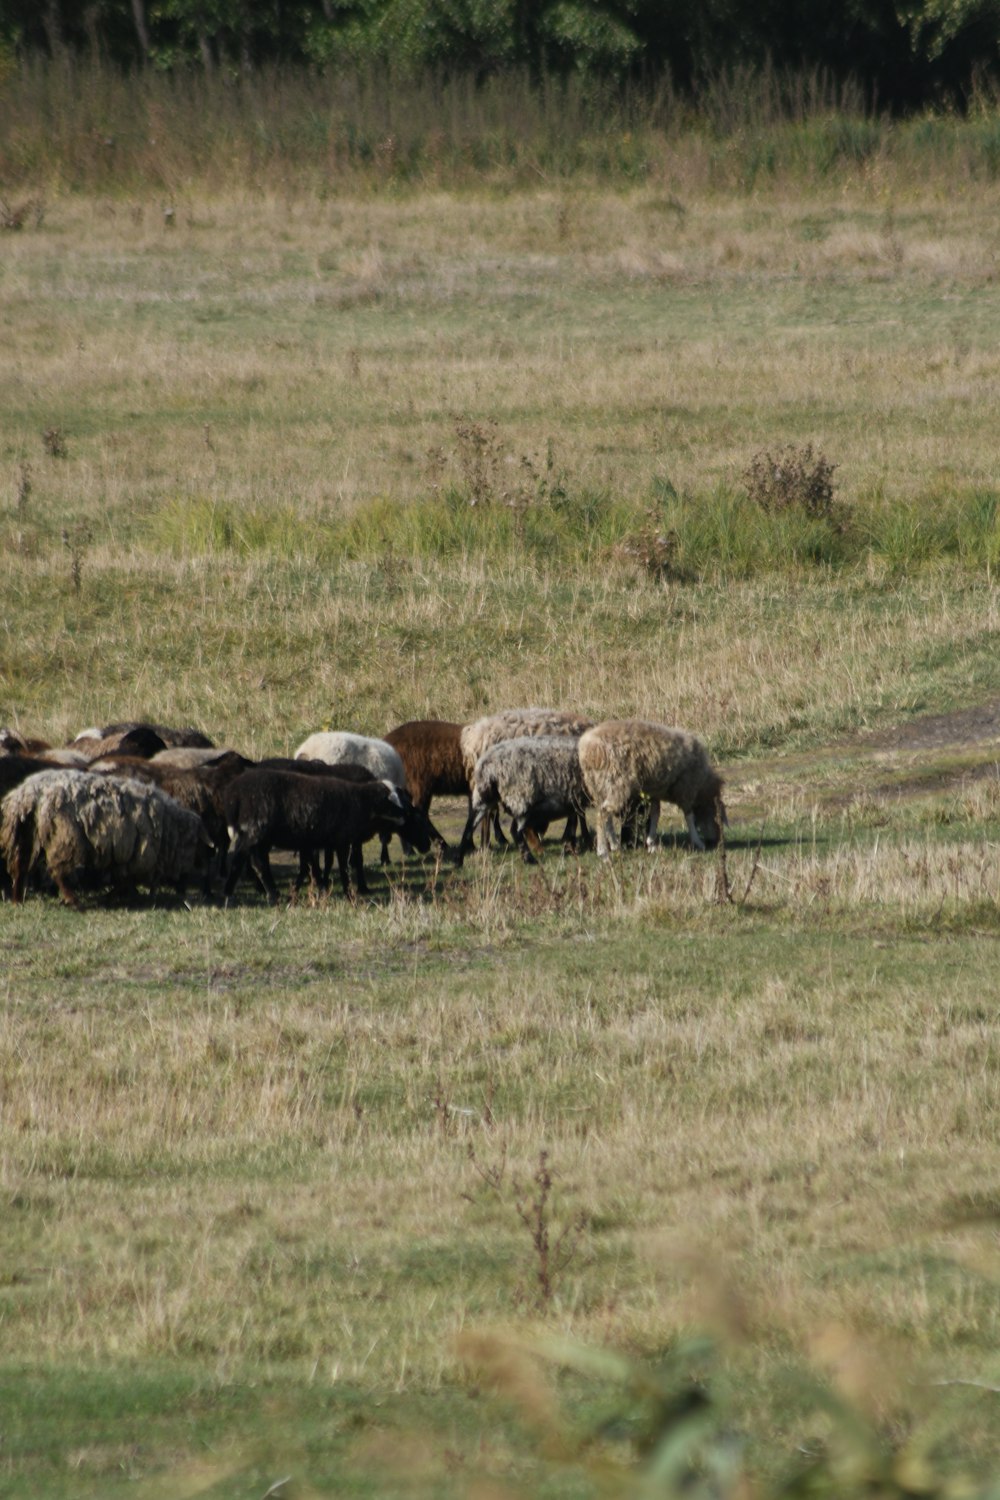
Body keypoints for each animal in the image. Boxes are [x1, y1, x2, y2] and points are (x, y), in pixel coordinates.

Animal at [0, 774, 209, 900]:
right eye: (194, 844)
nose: (184, 889)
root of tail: (26, 797)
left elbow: (123, 879)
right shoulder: (135, 854)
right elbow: (125, 879)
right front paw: (119, 895)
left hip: (23, 838)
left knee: (19, 869)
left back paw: (17, 900)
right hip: (65, 839)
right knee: (57, 872)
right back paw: (71, 900)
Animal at [223, 768, 410, 894]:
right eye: (388, 801)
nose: (404, 814)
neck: (360, 801)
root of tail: (234, 793)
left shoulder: (318, 840)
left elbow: (314, 865)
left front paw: (320, 888)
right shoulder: (340, 839)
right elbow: (341, 868)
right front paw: (347, 892)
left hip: (254, 834)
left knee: (250, 860)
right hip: (256, 831)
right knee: (250, 861)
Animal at [575, 717, 722, 858]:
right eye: (715, 814)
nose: (716, 841)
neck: (701, 785)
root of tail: (588, 747)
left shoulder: (654, 791)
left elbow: (655, 813)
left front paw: (651, 843)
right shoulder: (685, 788)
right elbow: (689, 816)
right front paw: (698, 842)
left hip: (598, 786)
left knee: (606, 815)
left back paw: (614, 844)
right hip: (616, 783)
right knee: (603, 814)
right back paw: (603, 852)